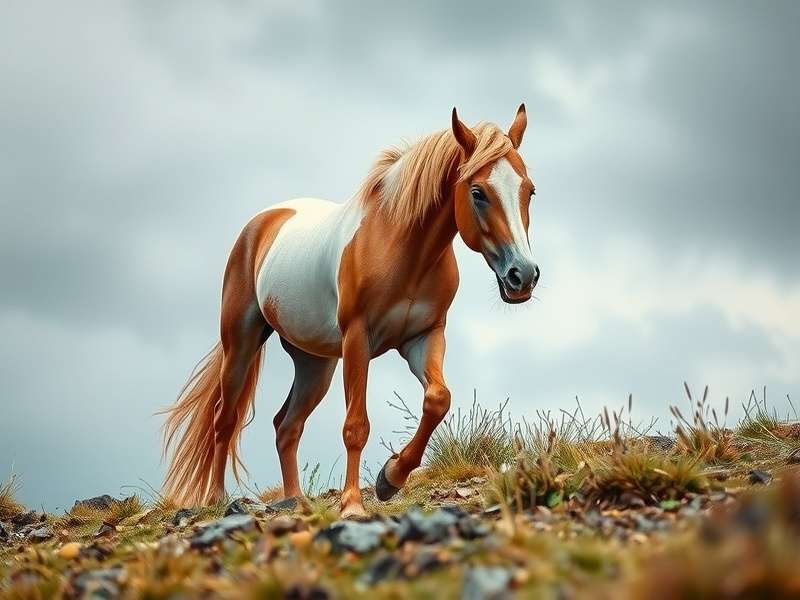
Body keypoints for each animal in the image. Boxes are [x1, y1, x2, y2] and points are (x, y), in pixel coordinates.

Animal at [161, 104, 539, 518]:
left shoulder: (423, 337)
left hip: (315, 363)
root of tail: (260, 225)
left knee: (286, 426)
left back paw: (297, 500)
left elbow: (438, 400)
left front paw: (391, 478)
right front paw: (354, 504)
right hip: (241, 343)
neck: (401, 247)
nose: (523, 275)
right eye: (477, 192)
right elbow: (355, 426)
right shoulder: (358, 339)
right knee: (224, 418)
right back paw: (216, 499)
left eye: (529, 190)